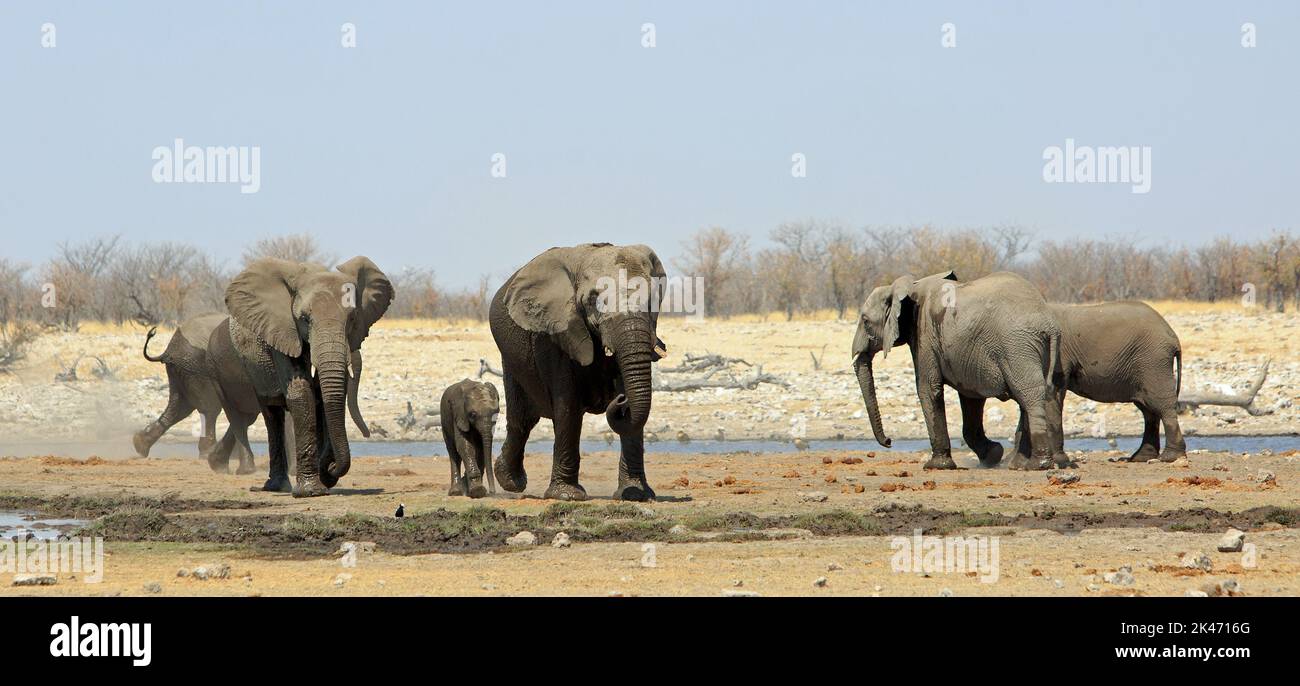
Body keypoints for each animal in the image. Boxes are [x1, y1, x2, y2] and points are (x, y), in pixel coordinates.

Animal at [204, 254, 390, 496]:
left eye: (352, 318)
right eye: (304, 319)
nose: (331, 467)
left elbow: (321, 395)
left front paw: (321, 482)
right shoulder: (282, 330)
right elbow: (301, 391)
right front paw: (311, 492)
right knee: (271, 414)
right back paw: (275, 486)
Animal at [488, 244, 670, 501]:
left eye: (652, 299)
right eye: (594, 299)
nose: (619, 401)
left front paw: (636, 494)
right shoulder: (555, 332)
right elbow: (568, 406)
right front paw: (567, 496)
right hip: (512, 359)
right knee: (522, 419)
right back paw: (512, 482)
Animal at [847, 270, 1071, 467]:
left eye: (865, 321)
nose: (889, 441)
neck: (910, 287)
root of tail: (1049, 325)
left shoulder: (924, 335)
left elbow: (928, 389)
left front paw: (937, 466)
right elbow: (970, 395)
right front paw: (993, 455)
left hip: (1016, 346)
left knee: (1029, 395)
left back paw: (1037, 465)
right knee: (1028, 396)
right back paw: (1019, 465)